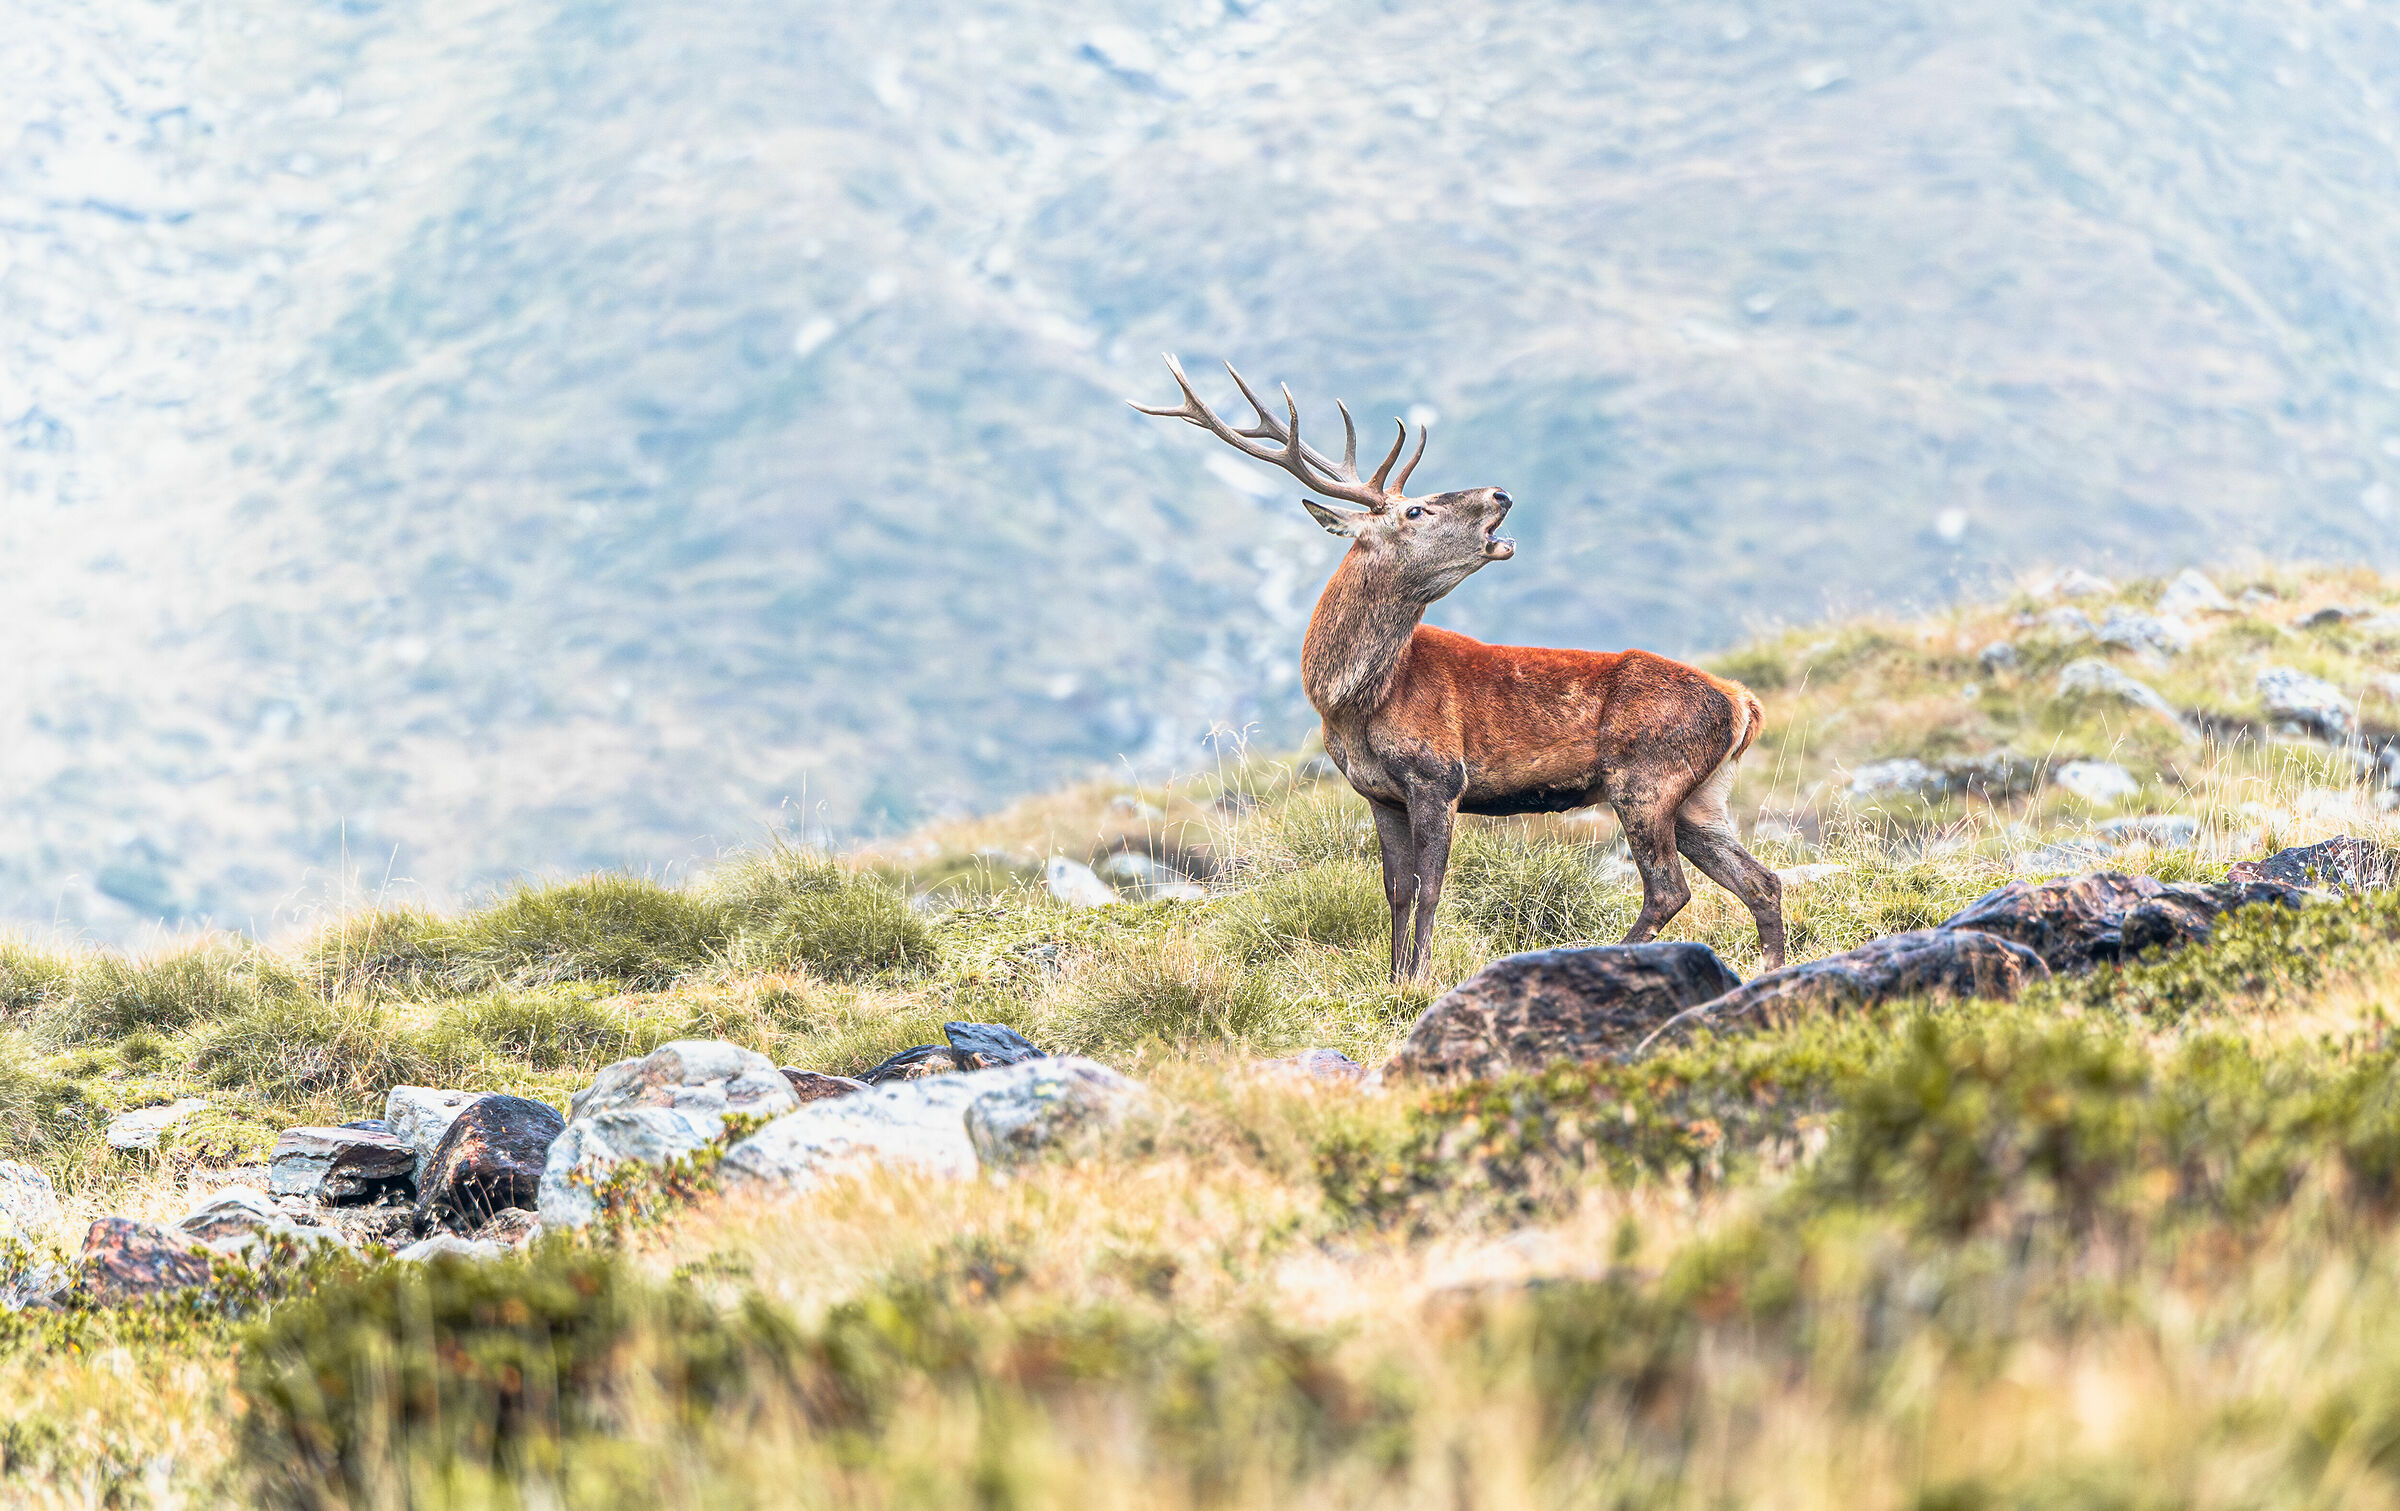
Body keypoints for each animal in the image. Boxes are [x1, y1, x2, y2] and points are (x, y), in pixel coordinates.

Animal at [1133, 355, 1786, 984]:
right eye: (1416, 510)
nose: (1500, 493)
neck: (1351, 701)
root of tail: (1742, 703)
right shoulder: (1381, 793)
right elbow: (1397, 891)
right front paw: (1394, 979)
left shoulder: (1439, 776)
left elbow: (1429, 891)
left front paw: (1419, 980)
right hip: (1701, 795)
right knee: (1762, 880)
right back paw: (1769, 971)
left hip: (1645, 779)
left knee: (1669, 889)